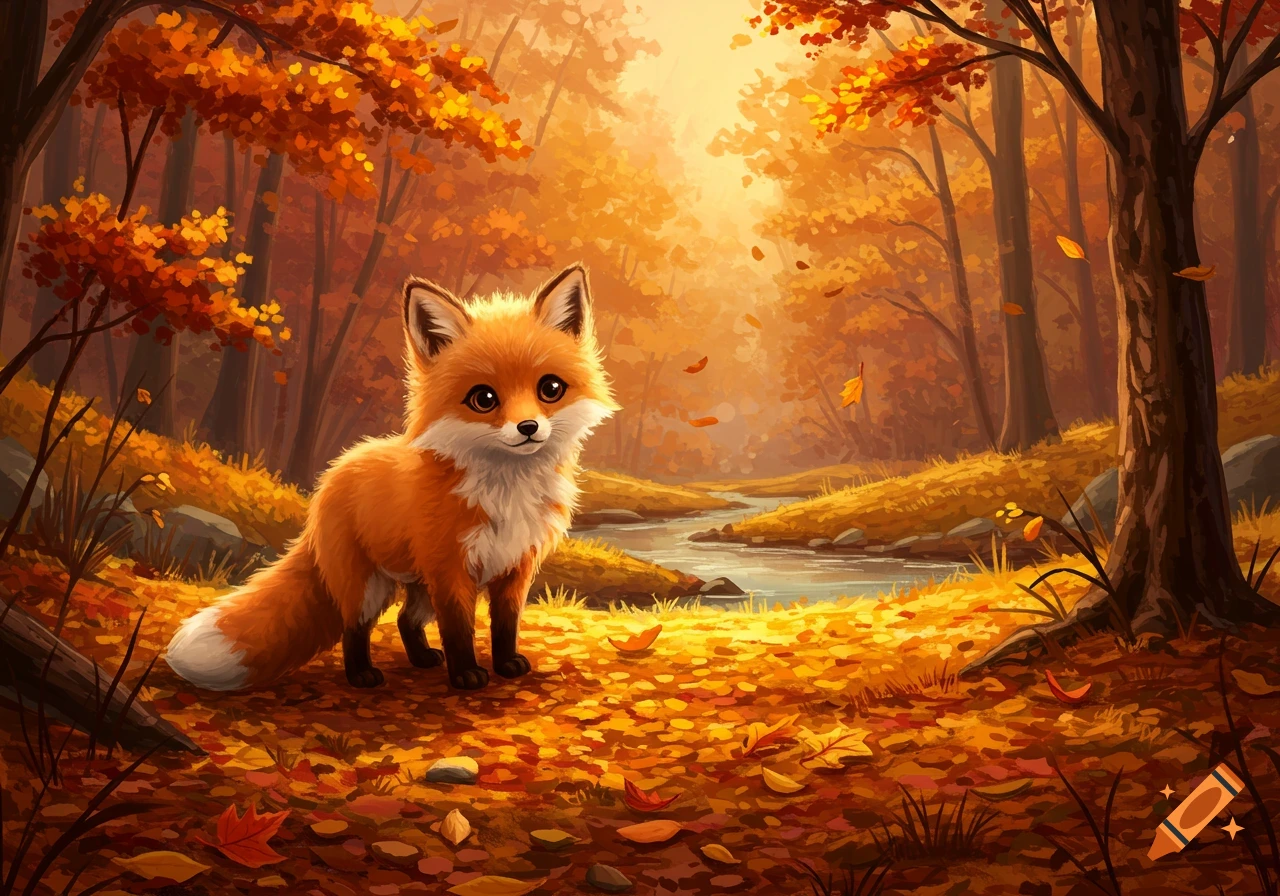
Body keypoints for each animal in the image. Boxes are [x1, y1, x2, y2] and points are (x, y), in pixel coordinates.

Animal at [164, 263, 617, 691]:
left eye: (550, 389)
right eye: (484, 399)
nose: (528, 428)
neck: (505, 490)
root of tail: (331, 477)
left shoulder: (515, 566)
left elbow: (505, 625)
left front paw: (505, 666)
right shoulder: (450, 570)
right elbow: (459, 630)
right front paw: (466, 676)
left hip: (418, 587)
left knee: (404, 620)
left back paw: (422, 659)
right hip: (369, 587)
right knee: (355, 628)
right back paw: (362, 675)